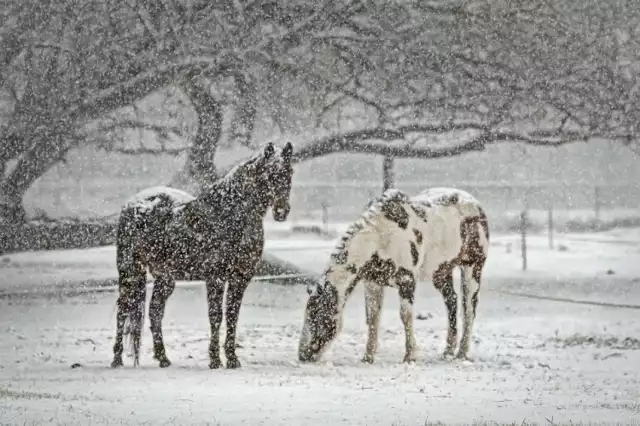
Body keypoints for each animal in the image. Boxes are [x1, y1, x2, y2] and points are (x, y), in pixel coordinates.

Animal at [110, 141, 296, 368]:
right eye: (269, 174)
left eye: (290, 172)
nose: (281, 211)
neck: (230, 214)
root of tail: (133, 203)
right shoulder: (215, 277)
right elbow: (216, 316)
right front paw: (215, 359)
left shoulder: (240, 278)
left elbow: (232, 315)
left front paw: (232, 359)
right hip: (130, 270)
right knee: (123, 309)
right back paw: (117, 359)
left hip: (165, 278)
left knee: (155, 311)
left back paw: (163, 358)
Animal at [298, 186, 490, 362]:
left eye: (317, 316)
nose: (303, 355)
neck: (380, 237)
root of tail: (475, 204)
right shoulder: (373, 283)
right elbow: (372, 318)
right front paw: (368, 357)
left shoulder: (406, 281)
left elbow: (405, 316)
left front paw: (410, 356)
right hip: (441, 272)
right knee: (452, 301)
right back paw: (448, 351)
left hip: (473, 267)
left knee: (469, 308)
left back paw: (462, 353)